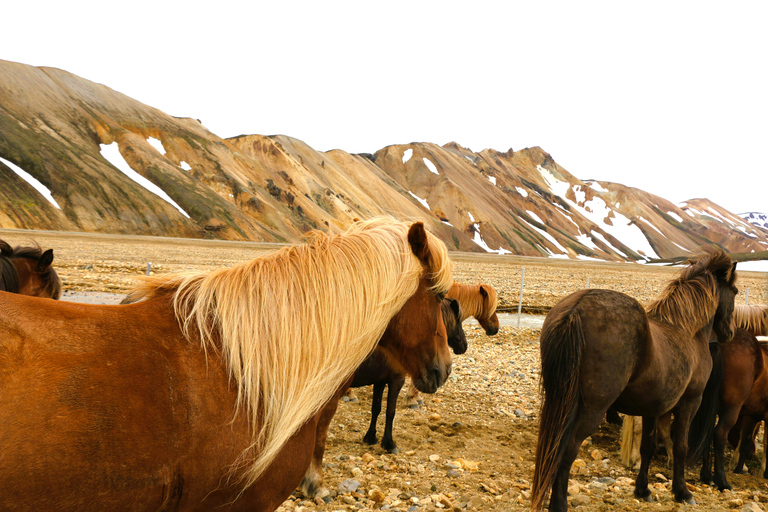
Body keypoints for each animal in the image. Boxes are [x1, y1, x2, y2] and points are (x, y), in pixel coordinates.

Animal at [536, 249, 736, 512]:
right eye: (735, 292)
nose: (730, 333)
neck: (686, 330)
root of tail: (576, 308)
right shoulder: (690, 403)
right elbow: (681, 447)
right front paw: (682, 492)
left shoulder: (652, 409)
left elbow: (647, 447)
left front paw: (643, 490)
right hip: (591, 410)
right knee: (568, 449)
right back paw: (559, 504)